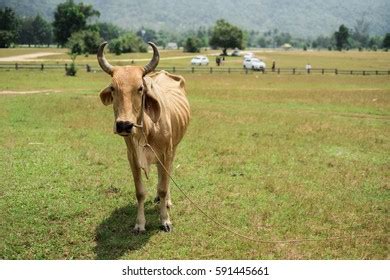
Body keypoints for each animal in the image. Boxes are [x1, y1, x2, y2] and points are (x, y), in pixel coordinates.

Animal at [96, 41, 190, 233]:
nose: (124, 124)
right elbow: (140, 192)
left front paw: (165, 220)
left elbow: (163, 187)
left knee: (166, 177)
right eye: (113, 88)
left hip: (174, 148)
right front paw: (140, 224)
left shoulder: (166, 153)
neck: (147, 128)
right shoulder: (132, 157)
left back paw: (166, 202)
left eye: (140, 88)